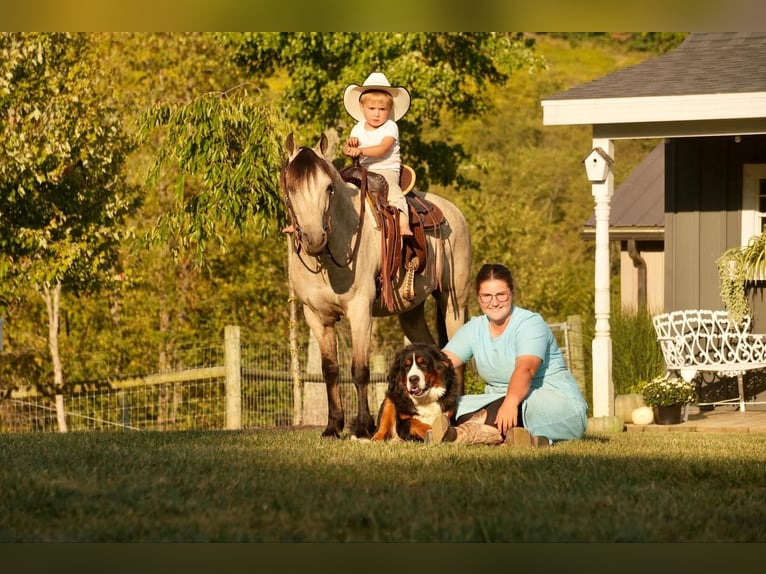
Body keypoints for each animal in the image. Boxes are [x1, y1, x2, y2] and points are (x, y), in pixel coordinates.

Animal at [282, 134, 474, 440]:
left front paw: (363, 425)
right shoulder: (315, 316)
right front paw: (333, 426)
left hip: (453, 301)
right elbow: (330, 370)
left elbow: (360, 369)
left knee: (457, 355)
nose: (314, 237)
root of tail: (452, 211)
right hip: (411, 312)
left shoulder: (360, 311)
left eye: (328, 188)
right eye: (291, 187)